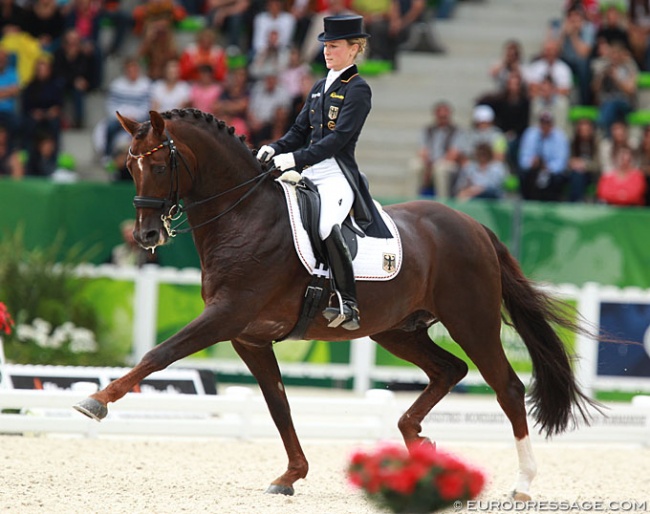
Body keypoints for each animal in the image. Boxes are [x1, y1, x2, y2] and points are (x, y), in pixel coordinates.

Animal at [74, 107, 596, 496]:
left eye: (161, 167)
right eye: (130, 167)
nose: (146, 236)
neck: (245, 214)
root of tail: (474, 226)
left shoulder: (226, 316)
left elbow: (158, 354)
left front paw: (95, 401)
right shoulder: (249, 338)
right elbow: (277, 403)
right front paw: (291, 475)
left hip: (472, 321)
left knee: (506, 388)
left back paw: (523, 483)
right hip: (397, 330)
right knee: (450, 370)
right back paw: (417, 442)